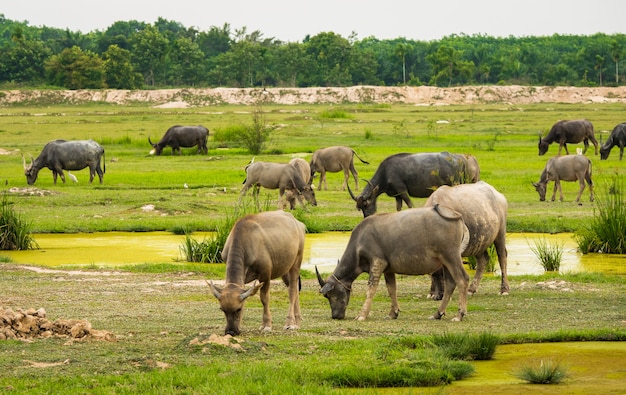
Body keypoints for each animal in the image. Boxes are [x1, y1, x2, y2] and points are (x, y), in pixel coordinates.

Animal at [208, 210, 306, 338]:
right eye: (222, 309)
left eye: (238, 309)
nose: (231, 331)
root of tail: (299, 224)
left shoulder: (265, 274)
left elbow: (264, 299)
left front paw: (267, 325)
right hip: (285, 270)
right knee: (295, 290)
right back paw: (297, 321)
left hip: (296, 263)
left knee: (292, 291)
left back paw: (290, 323)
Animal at [316, 206, 468, 324]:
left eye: (329, 295)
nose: (335, 316)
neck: (359, 242)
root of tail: (454, 214)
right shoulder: (388, 269)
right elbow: (391, 289)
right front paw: (392, 313)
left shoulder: (377, 263)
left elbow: (371, 289)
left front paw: (362, 315)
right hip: (445, 262)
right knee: (450, 283)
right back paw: (437, 314)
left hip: (451, 257)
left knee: (462, 279)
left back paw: (459, 315)